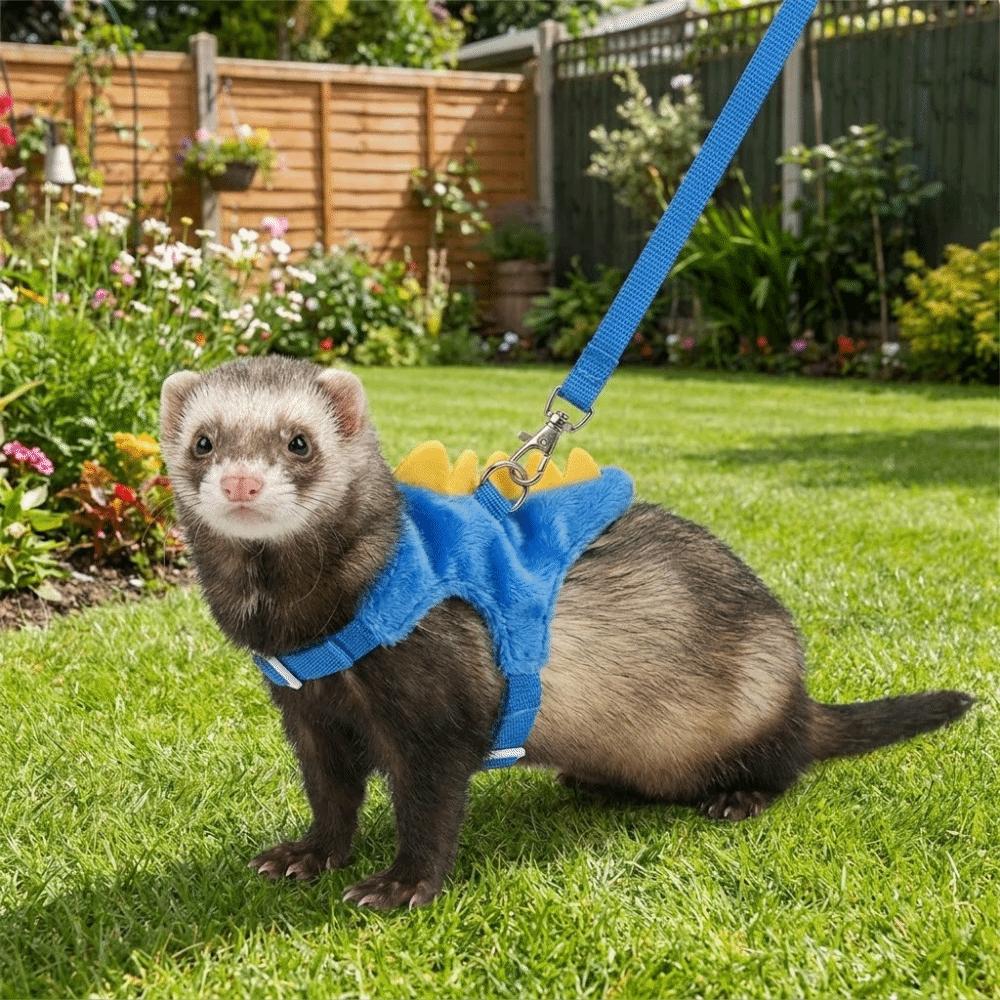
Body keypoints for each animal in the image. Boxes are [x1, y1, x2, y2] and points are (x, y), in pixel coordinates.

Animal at [159, 356, 973, 909]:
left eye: (299, 441)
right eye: (203, 441)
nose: (240, 482)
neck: (307, 630)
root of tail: (799, 697)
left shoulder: (438, 712)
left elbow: (429, 806)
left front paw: (398, 885)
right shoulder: (309, 710)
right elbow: (331, 795)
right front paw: (303, 855)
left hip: (759, 703)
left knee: (788, 766)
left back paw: (738, 797)